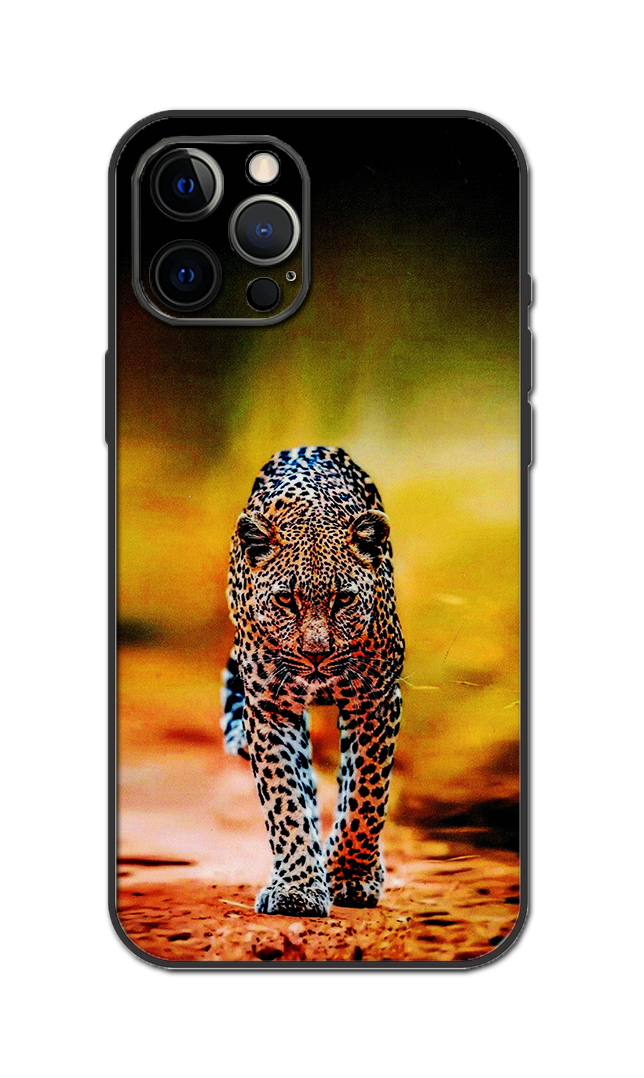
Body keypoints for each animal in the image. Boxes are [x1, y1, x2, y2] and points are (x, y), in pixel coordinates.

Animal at [221, 445, 404, 917]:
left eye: (344, 599)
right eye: (286, 599)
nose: (316, 654)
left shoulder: (376, 700)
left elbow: (365, 795)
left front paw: (351, 877)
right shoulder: (269, 708)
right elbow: (285, 798)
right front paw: (298, 889)